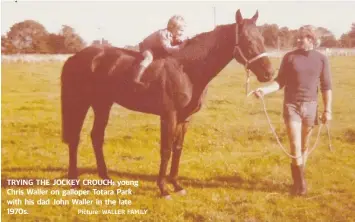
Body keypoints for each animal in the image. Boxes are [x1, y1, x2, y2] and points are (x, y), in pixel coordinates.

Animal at [60, 9, 276, 199]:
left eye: (262, 39)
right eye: (248, 41)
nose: (269, 74)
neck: (186, 70)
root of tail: (76, 57)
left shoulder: (184, 119)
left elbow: (177, 149)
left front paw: (176, 185)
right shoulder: (168, 116)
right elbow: (166, 150)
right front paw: (163, 189)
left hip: (103, 104)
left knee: (96, 137)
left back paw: (105, 179)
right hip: (80, 103)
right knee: (75, 139)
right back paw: (74, 181)